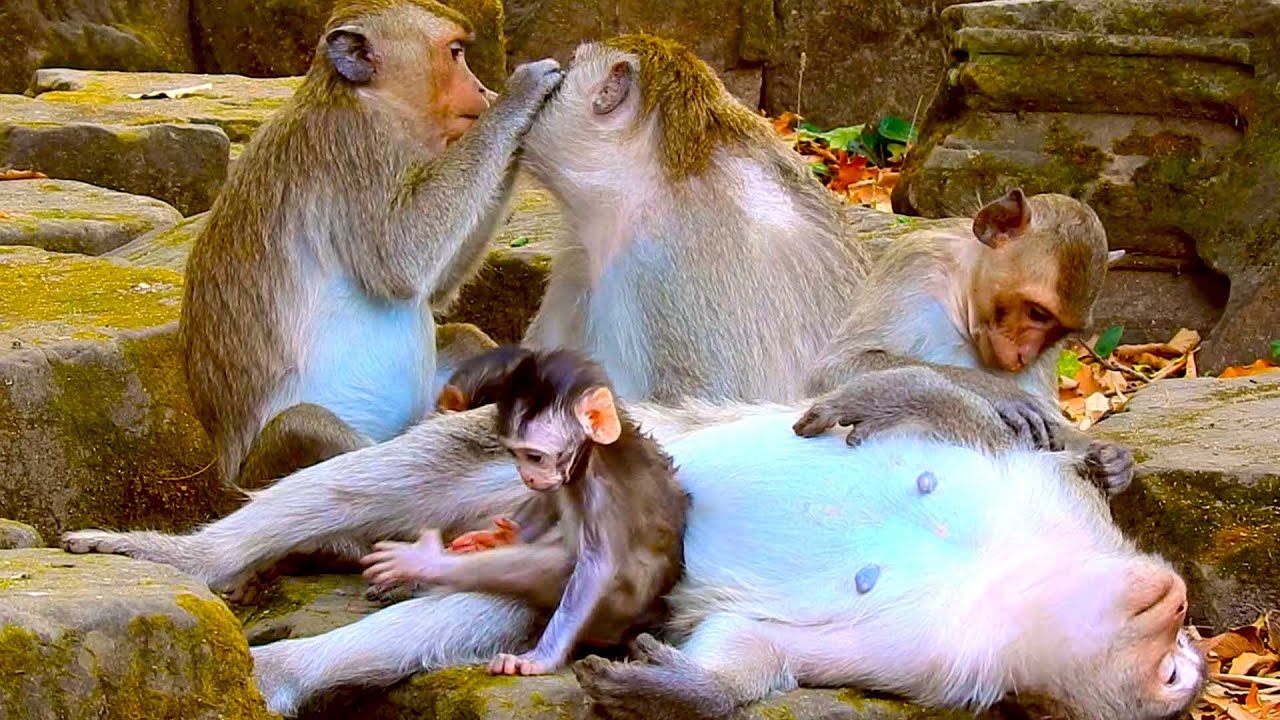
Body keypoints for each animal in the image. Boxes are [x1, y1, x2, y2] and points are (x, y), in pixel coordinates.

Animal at [179, 0, 564, 488]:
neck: (370, 102)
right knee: (306, 427)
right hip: (268, 468)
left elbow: (433, 290)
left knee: (464, 339)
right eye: (456, 53)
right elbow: (397, 260)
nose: (481, 89)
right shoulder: (356, 148)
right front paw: (521, 98)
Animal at [360, 347, 687, 676]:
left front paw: (542, 657)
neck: (592, 452)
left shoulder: (601, 491)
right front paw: (502, 536)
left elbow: (596, 568)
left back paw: (425, 562)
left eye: (535, 457)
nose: (527, 476)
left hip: (620, 609)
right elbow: (548, 500)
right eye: (514, 455)